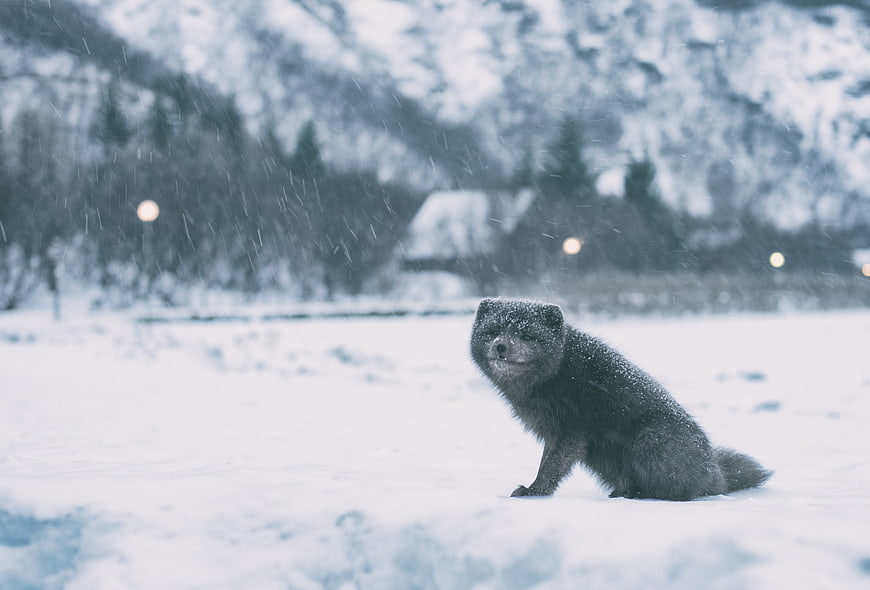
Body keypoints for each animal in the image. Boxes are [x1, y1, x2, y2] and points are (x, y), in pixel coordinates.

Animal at [470, 297, 772, 500]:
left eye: (527, 335)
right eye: (492, 331)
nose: (501, 346)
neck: (557, 371)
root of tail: (716, 472)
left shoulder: (571, 429)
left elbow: (552, 466)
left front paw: (535, 491)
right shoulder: (554, 432)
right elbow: (548, 461)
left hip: (649, 441)